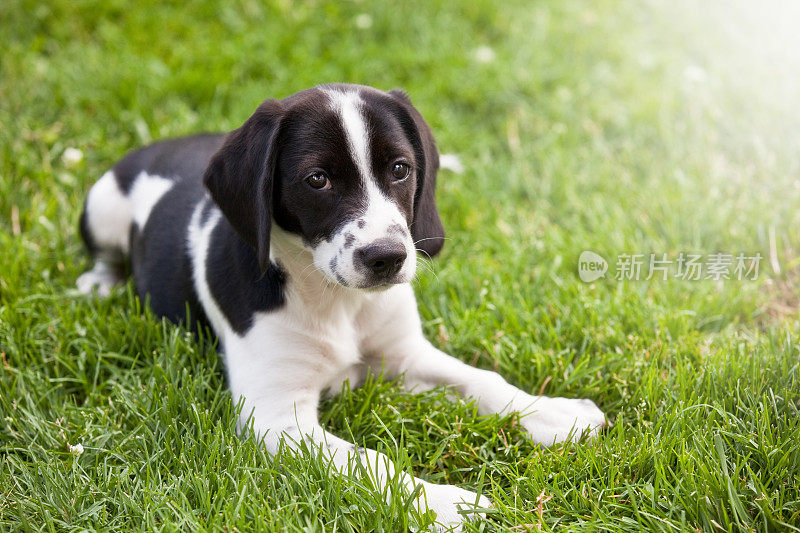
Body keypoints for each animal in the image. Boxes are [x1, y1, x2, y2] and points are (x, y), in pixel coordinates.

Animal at [76, 83, 608, 528]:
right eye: (317, 180)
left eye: (400, 169)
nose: (388, 257)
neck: (337, 300)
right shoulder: (276, 419)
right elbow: (371, 462)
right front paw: (445, 503)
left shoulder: (403, 356)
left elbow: (482, 380)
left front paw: (555, 415)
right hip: (101, 206)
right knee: (105, 253)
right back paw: (99, 283)